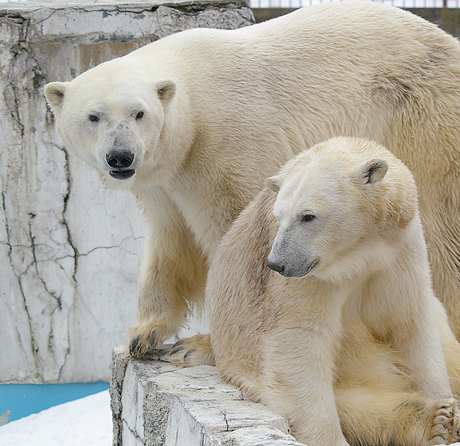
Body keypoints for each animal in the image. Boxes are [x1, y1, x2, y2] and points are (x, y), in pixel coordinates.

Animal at [44, 0, 460, 356]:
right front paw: (143, 334)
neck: (193, 111)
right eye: (94, 116)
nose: (121, 156)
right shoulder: (163, 181)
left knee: (441, 230)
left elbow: (235, 236)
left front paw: (206, 345)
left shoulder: (225, 149)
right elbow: (170, 243)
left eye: (139, 113)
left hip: (422, 115)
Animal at [192, 139, 460, 446]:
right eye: (278, 216)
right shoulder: (309, 278)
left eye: (308, 216)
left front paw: (448, 409)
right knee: (357, 406)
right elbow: (300, 341)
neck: (359, 254)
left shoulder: (400, 250)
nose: (276, 263)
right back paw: (431, 420)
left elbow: (411, 324)